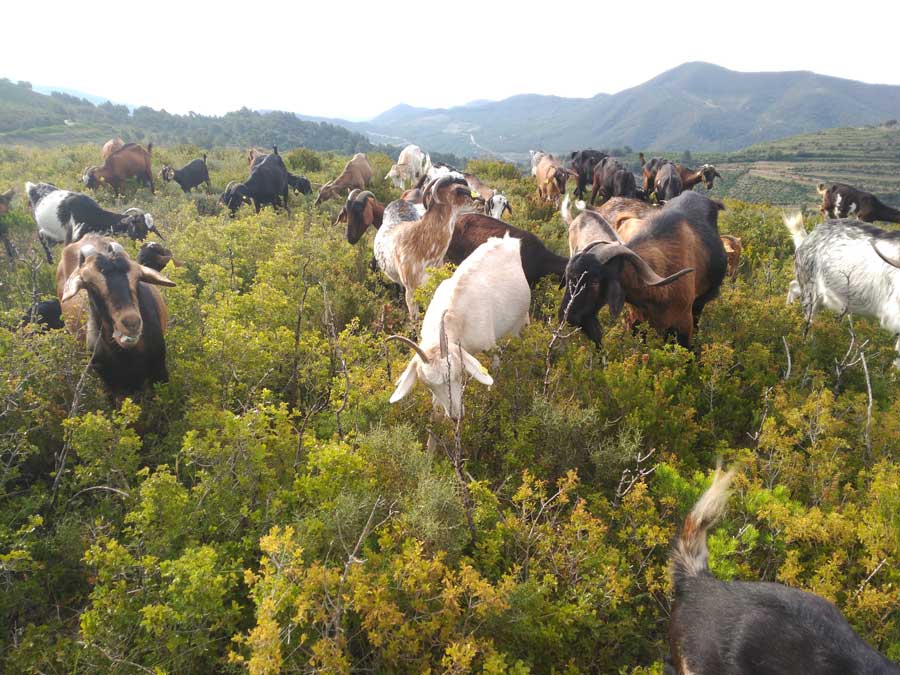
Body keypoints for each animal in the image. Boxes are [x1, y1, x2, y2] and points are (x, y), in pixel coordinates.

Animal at [26, 182, 161, 263]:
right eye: (139, 226)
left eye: (151, 228)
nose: (147, 243)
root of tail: (34, 187)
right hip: (44, 228)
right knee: (41, 236)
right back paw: (50, 261)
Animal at [388, 234, 530, 420]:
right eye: (429, 386)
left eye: (455, 373)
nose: (456, 416)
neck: (456, 317)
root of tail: (508, 241)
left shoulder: (488, 345)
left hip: (520, 319)